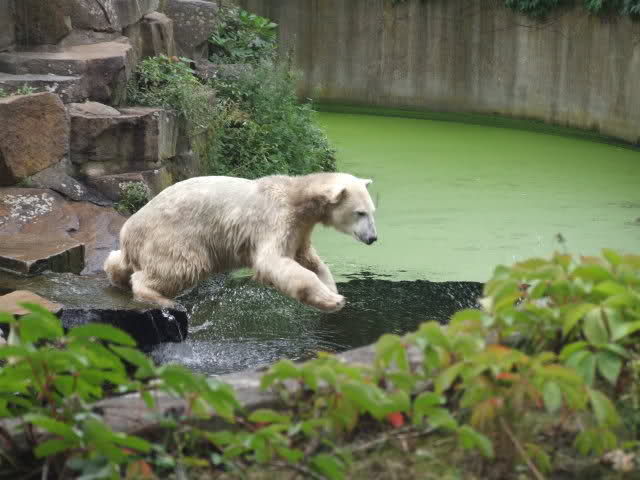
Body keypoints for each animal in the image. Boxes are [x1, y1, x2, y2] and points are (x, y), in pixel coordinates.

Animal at [104, 172, 377, 312]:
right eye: (360, 213)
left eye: (372, 211)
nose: (373, 238)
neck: (296, 195)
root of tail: (129, 231)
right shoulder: (275, 220)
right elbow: (275, 262)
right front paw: (332, 299)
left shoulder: (300, 228)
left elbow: (309, 259)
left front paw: (333, 291)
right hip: (172, 236)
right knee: (181, 266)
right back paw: (161, 298)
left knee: (120, 261)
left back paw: (117, 275)